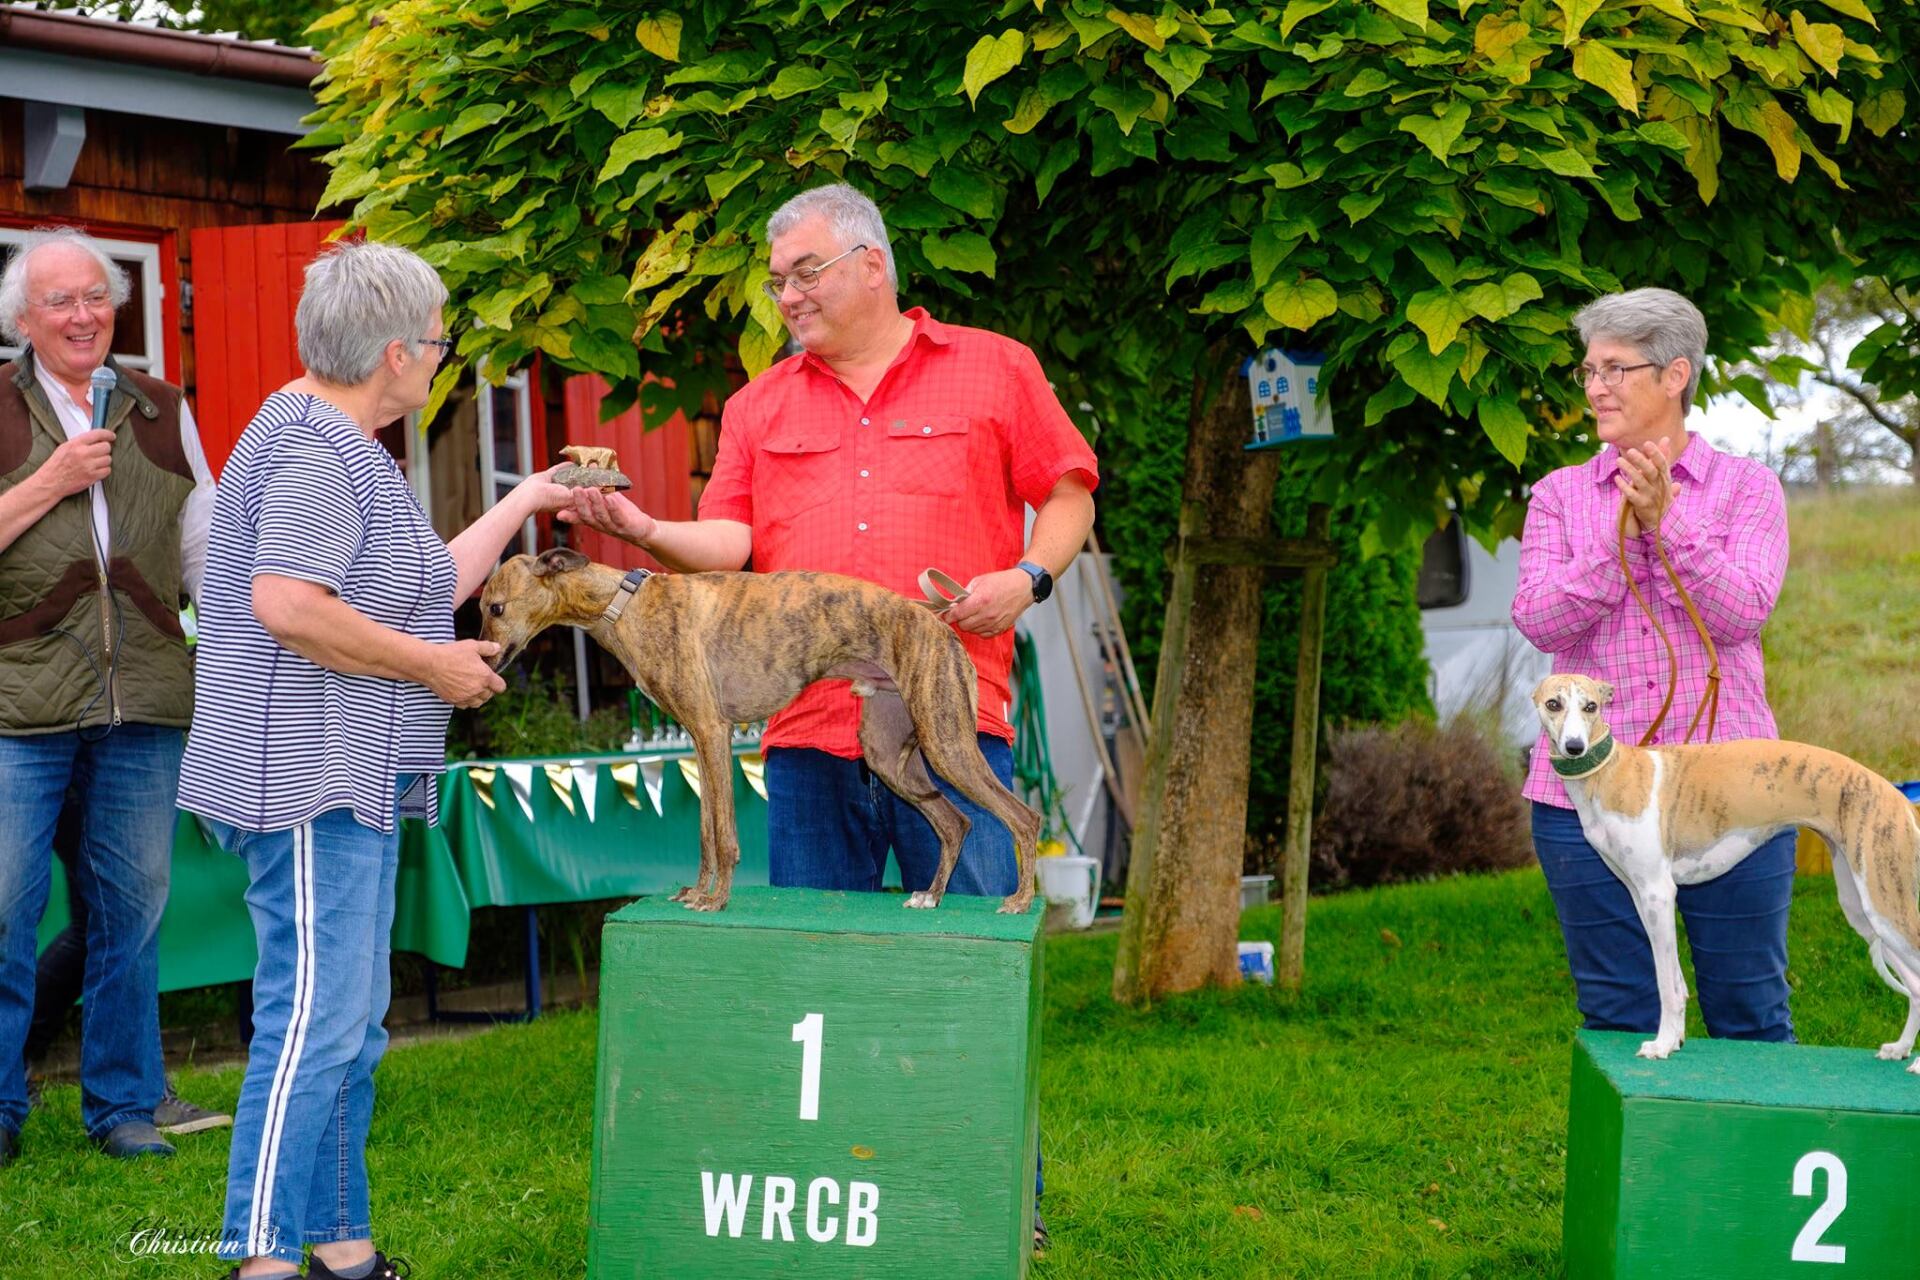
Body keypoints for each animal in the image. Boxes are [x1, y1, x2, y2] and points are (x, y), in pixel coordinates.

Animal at [478, 548, 1041, 914]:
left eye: (494, 607)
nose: (483, 661)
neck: (625, 600)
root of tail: (939, 620)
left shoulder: (712, 731)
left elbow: (724, 834)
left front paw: (716, 899)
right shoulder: (700, 741)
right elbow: (705, 830)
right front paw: (695, 892)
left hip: (947, 744)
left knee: (1023, 817)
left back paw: (1020, 900)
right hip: (889, 753)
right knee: (955, 823)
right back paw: (932, 894)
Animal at [1532, 673, 1920, 1069]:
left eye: (1591, 706)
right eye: (1553, 704)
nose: (1575, 747)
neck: (1612, 773)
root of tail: (1899, 799)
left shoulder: (1658, 893)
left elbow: (1666, 983)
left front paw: (1661, 1044)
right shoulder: (1640, 895)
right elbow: (1675, 978)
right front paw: (1676, 1040)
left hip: (1886, 903)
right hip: (1863, 910)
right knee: (1915, 986)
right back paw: (1900, 1049)